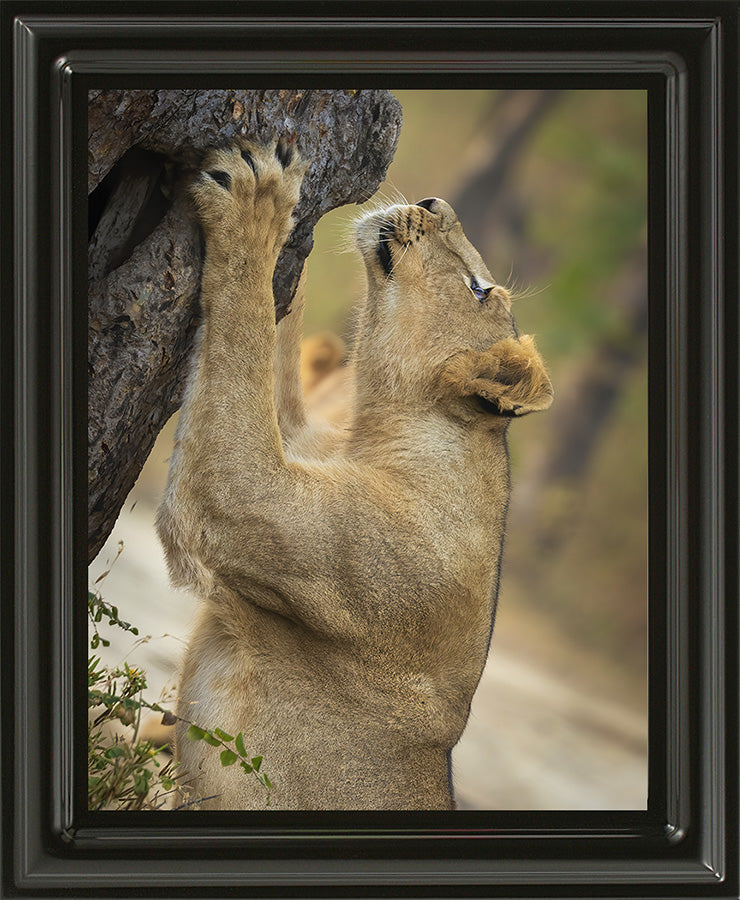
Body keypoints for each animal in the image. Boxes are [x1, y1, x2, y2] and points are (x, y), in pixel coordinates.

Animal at [156, 139, 553, 810]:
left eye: (479, 290)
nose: (434, 202)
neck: (372, 434)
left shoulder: (245, 499)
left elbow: (246, 333)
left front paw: (258, 206)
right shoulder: (296, 436)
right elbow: (268, 346)